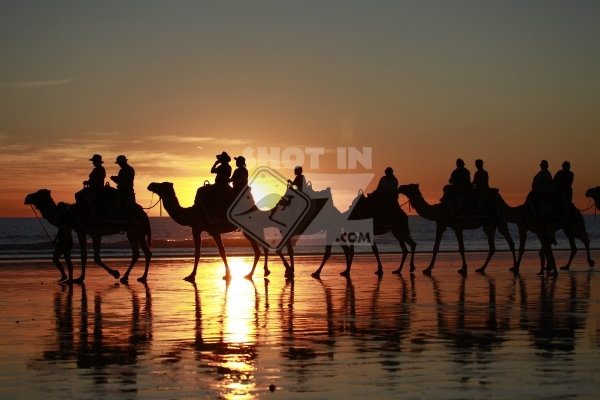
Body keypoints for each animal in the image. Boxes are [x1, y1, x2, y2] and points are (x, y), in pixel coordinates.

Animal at [24, 189, 152, 282]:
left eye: (39, 194)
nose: (27, 198)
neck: (71, 214)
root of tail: (144, 213)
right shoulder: (81, 231)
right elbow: (83, 256)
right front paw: (80, 278)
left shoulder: (96, 232)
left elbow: (96, 258)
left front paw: (115, 273)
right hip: (139, 232)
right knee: (147, 253)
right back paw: (142, 277)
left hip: (132, 230)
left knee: (136, 253)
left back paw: (125, 277)